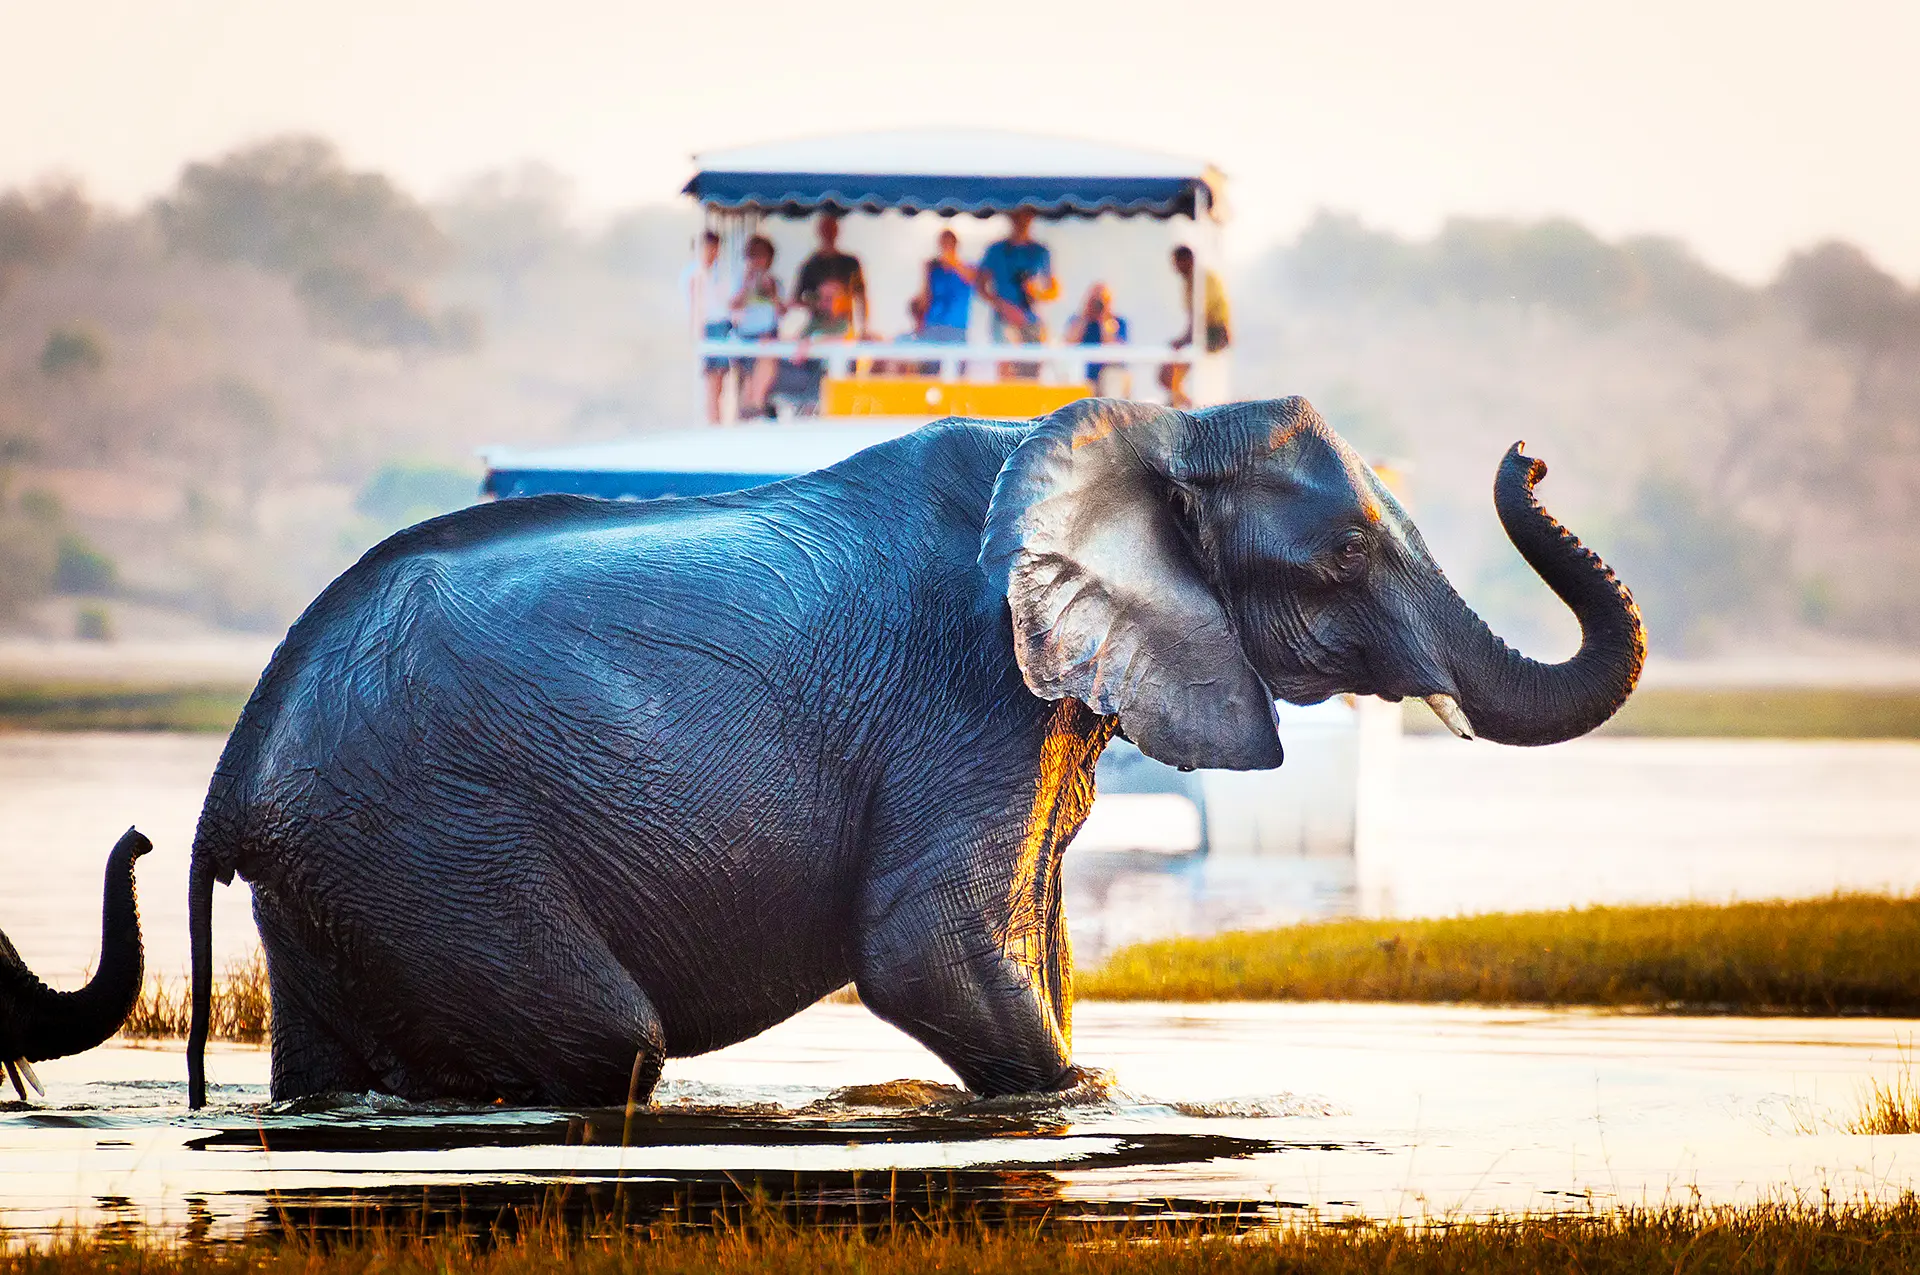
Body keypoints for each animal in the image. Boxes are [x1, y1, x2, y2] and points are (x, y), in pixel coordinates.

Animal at [185, 397, 1644, 1108]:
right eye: (1343, 555)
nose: (1530, 454)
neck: (1134, 435)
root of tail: (234, 776)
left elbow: (1034, 943)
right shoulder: (965, 693)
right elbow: (928, 947)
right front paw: (1088, 1098)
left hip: (350, 874)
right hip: (429, 837)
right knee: (607, 1041)